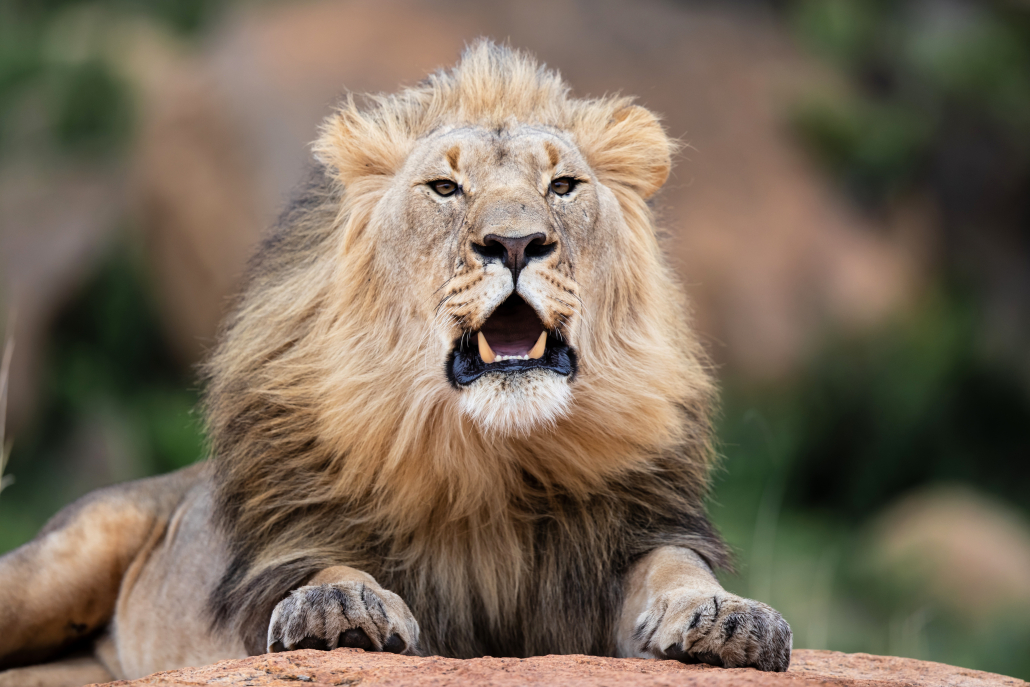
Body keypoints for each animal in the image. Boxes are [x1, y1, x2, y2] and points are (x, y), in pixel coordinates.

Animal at [0, 41, 791, 686]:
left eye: (562, 186)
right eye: (445, 188)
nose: (515, 243)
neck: (492, 460)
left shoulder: (627, 539)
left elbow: (676, 567)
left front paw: (730, 616)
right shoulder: (296, 535)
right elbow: (327, 562)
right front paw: (340, 601)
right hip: (60, 558)